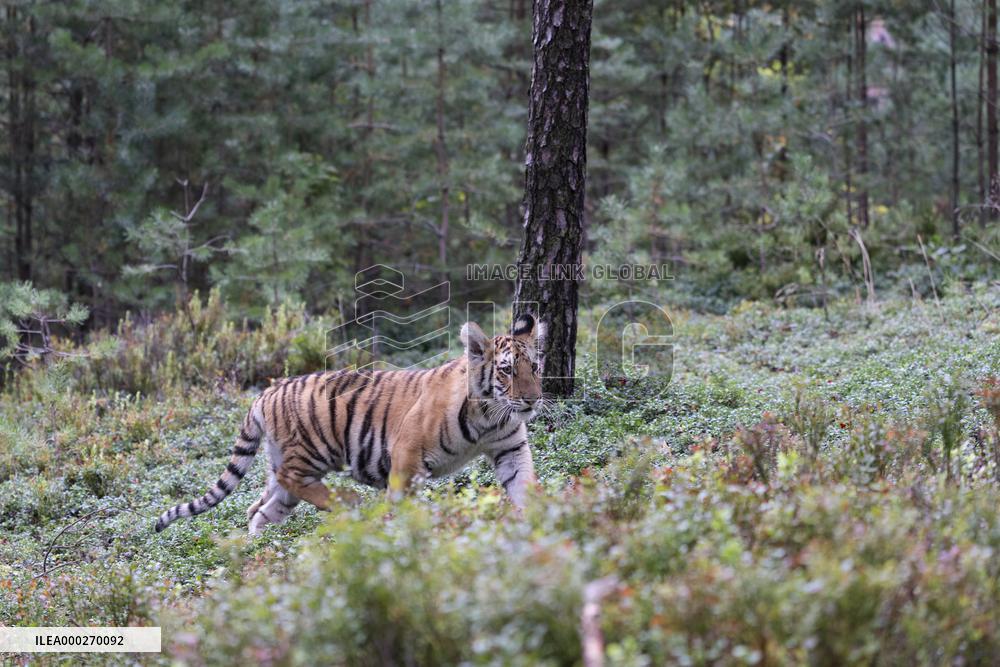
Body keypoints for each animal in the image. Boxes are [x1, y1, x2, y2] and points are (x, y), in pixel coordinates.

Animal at [155, 314, 546, 535]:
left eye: (535, 367)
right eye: (507, 370)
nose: (532, 399)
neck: (489, 416)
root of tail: (267, 391)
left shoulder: (511, 448)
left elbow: (524, 483)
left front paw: (542, 519)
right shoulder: (406, 452)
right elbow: (402, 500)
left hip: (283, 465)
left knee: (263, 505)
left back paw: (259, 546)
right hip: (313, 448)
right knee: (292, 479)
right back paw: (346, 501)